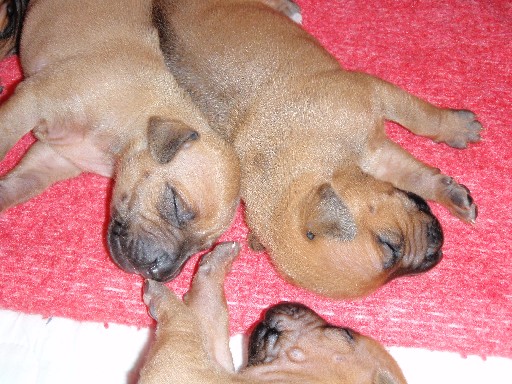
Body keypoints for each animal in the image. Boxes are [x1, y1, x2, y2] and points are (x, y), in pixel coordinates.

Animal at [0, 0, 240, 282]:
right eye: (175, 204)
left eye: (203, 247)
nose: (162, 273)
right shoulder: (32, 101)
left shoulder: (52, 160)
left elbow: (13, 188)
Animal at [141, 243, 408, 384]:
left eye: (346, 332)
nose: (289, 303)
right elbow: (211, 313)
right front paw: (217, 260)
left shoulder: (184, 366)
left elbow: (186, 324)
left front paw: (161, 295)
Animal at [151, 0, 480, 296]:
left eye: (388, 242)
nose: (435, 250)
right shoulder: (376, 155)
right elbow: (415, 176)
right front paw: (450, 192)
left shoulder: (374, 93)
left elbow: (423, 119)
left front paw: (457, 128)